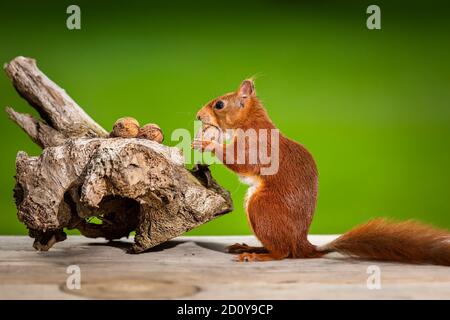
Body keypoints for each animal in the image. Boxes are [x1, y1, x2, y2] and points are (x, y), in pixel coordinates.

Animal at [192, 80, 450, 264]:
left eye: (219, 104)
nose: (198, 116)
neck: (249, 122)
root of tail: (302, 243)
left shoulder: (257, 146)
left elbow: (240, 162)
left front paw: (208, 144)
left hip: (262, 207)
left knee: (283, 252)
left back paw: (258, 255)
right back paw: (250, 247)